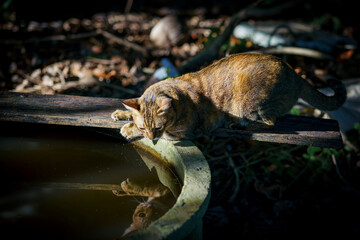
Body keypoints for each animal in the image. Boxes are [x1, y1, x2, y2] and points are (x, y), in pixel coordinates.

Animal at [112, 53, 346, 141]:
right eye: (144, 127)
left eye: (158, 127)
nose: (152, 139)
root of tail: (294, 73)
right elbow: (131, 112)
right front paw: (122, 114)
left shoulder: (183, 133)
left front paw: (128, 129)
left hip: (250, 103)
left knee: (270, 122)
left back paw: (239, 126)